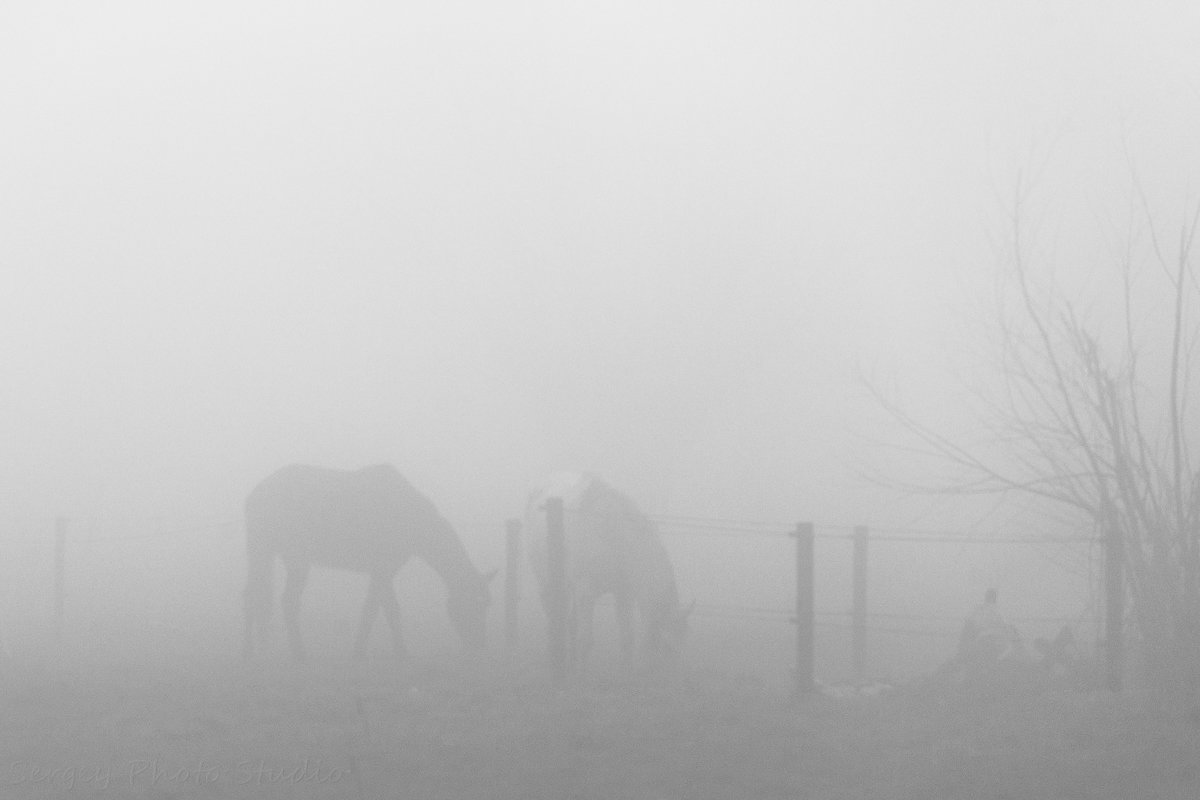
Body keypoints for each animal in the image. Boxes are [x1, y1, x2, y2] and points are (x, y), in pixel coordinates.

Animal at [242, 462, 492, 662]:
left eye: (486, 604)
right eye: (475, 604)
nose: (479, 646)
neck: (410, 516)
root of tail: (256, 494)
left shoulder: (381, 573)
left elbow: (373, 609)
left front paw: (361, 651)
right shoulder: (384, 570)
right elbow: (388, 609)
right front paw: (400, 652)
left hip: (263, 557)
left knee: (253, 598)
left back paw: (251, 652)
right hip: (294, 561)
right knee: (287, 602)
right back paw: (299, 654)